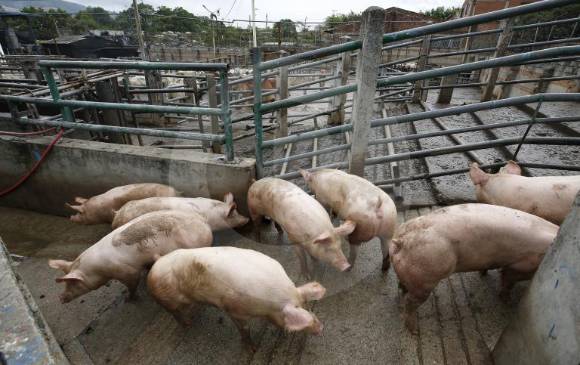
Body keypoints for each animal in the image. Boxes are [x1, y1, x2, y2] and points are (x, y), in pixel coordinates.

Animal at [47, 208, 211, 302]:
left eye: (72, 283)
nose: (60, 298)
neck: (98, 270)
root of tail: (201, 219)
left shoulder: (127, 271)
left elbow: (132, 283)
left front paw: (129, 299)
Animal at [390, 202, 556, 332]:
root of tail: (401, 240)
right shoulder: (523, 265)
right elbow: (508, 279)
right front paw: (507, 302)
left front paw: (483, 273)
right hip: (426, 276)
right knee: (410, 302)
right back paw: (414, 330)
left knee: (403, 287)